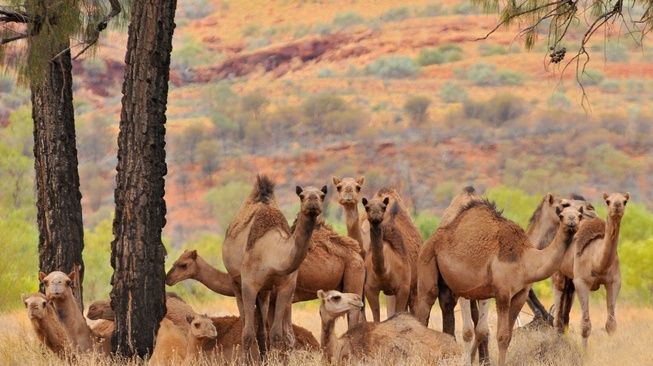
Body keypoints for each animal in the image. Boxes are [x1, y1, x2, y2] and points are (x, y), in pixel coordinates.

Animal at [418, 199, 584, 366]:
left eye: (579, 215)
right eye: (561, 214)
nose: (571, 220)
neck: (526, 259)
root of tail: (431, 238)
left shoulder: (521, 294)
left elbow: (507, 336)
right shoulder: (502, 293)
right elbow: (502, 336)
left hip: (450, 286)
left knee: (448, 308)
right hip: (428, 262)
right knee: (424, 308)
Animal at [552, 192, 628, 346]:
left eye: (625, 201)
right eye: (607, 201)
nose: (617, 205)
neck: (597, 260)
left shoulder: (614, 282)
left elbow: (611, 324)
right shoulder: (582, 282)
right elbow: (585, 325)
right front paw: (584, 351)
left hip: (571, 282)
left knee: (564, 315)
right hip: (559, 275)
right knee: (557, 316)